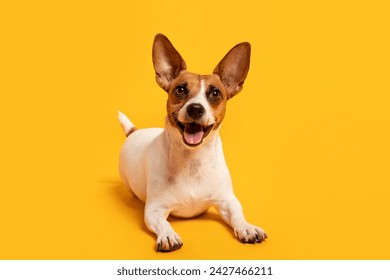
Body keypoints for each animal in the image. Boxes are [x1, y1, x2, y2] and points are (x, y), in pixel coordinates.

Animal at [117, 33, 266, 252]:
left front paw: (247, 227)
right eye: (180, 90)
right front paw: (168, 234)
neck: (192, 161)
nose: (195, 108)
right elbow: (163, 222)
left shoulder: (227, 201)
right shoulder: (154, 210)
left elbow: (237, 214)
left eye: (215, 93)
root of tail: (134, 132)